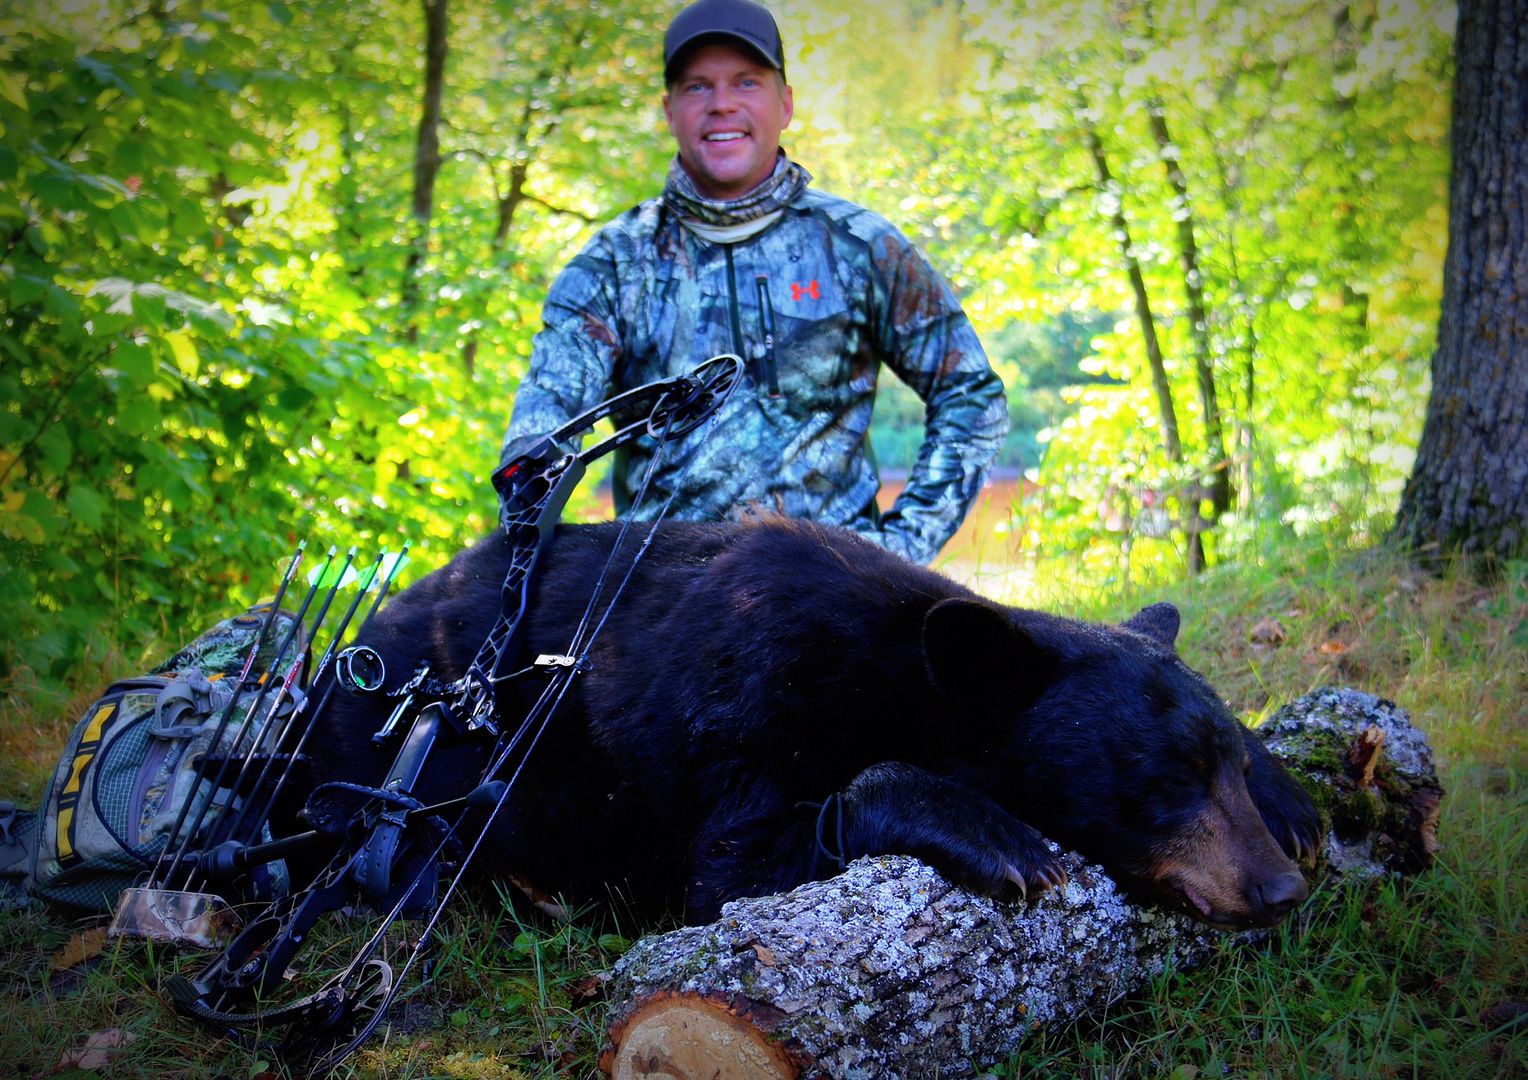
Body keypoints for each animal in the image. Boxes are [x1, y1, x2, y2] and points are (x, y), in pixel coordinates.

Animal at [303, 516, 1321, 929]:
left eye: (1219, 770)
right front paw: (1007, 842)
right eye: (1161, 785)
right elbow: (734, 866)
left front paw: (1291, 799)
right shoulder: (741, 707)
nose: (1279, 891)